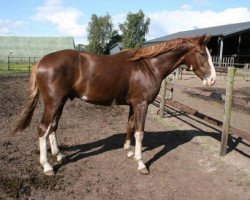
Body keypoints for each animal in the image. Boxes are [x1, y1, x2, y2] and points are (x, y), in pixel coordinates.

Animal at [11, 35, 215, 176]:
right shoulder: (142, 104)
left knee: (52, 127)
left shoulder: (134, 104)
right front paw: (141, 163)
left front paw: (129, 151)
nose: (212, 80)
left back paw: (59, 155)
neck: (149, 66)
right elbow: (140, 132)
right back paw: (47, 166)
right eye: (202, 53)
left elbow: (130, 126)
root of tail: (40, 61)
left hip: (60, 103)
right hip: (53, 103)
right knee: (43, 128)